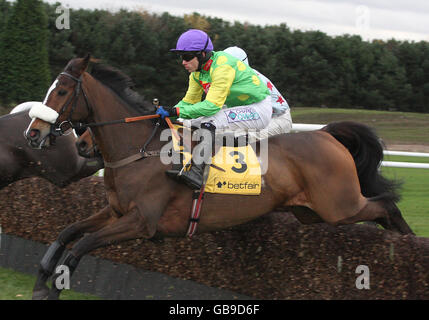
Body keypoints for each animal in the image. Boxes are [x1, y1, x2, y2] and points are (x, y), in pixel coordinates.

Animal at [25, 55, 412, 300]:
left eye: (61, 92)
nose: (33, 133)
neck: (140, 149)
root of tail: (327, 135)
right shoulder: (115, 212)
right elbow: (66, 233)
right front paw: (41, 281)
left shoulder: (141, 222)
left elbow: (82, 246)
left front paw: (54, 288)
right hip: (312, 212)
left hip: (339, 206)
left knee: (386, 205)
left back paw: (407, 244)